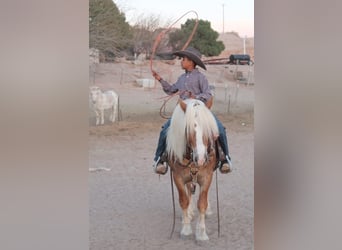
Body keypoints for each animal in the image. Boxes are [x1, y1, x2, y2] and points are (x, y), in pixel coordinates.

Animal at [166, 97, 219, 240]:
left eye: (208, 129)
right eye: (188, 129)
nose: (200, 158)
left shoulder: (207, 177)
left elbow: (202, 203)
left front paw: (202, 233)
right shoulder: (178, 177)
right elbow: (184, 200)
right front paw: (186, 229)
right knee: (189, 189)